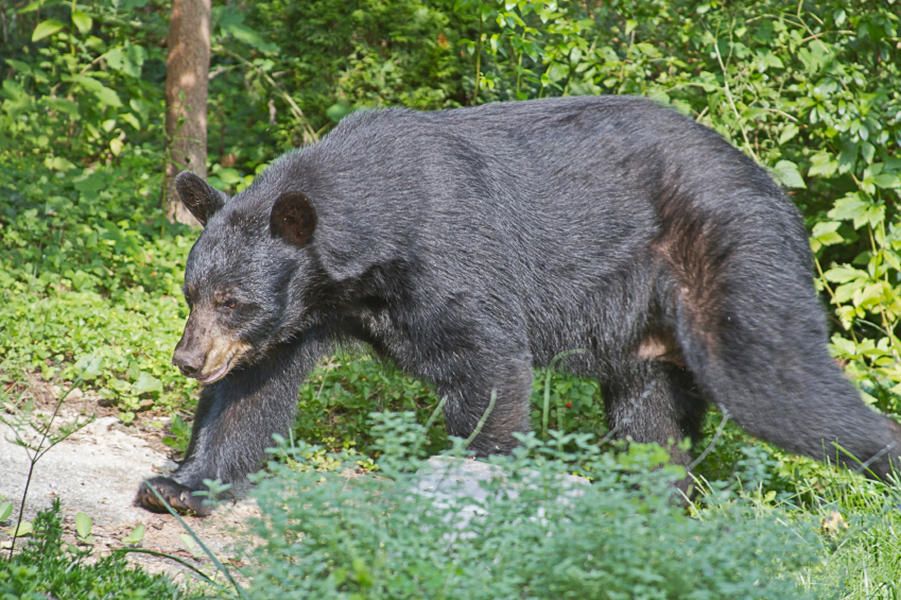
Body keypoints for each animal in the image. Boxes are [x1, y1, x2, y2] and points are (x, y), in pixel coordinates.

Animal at [135, 95, 900, 516]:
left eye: (233, 300)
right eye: (193, 294)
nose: (186, 358)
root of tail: (772, 187)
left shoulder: (451, 263)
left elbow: (488, 370)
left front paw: (475, 482)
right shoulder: (302, 314)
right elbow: (252, 394)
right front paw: (177, 485)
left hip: (731, 255)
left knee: (777, 385)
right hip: (647, 331)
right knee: (649, 422)